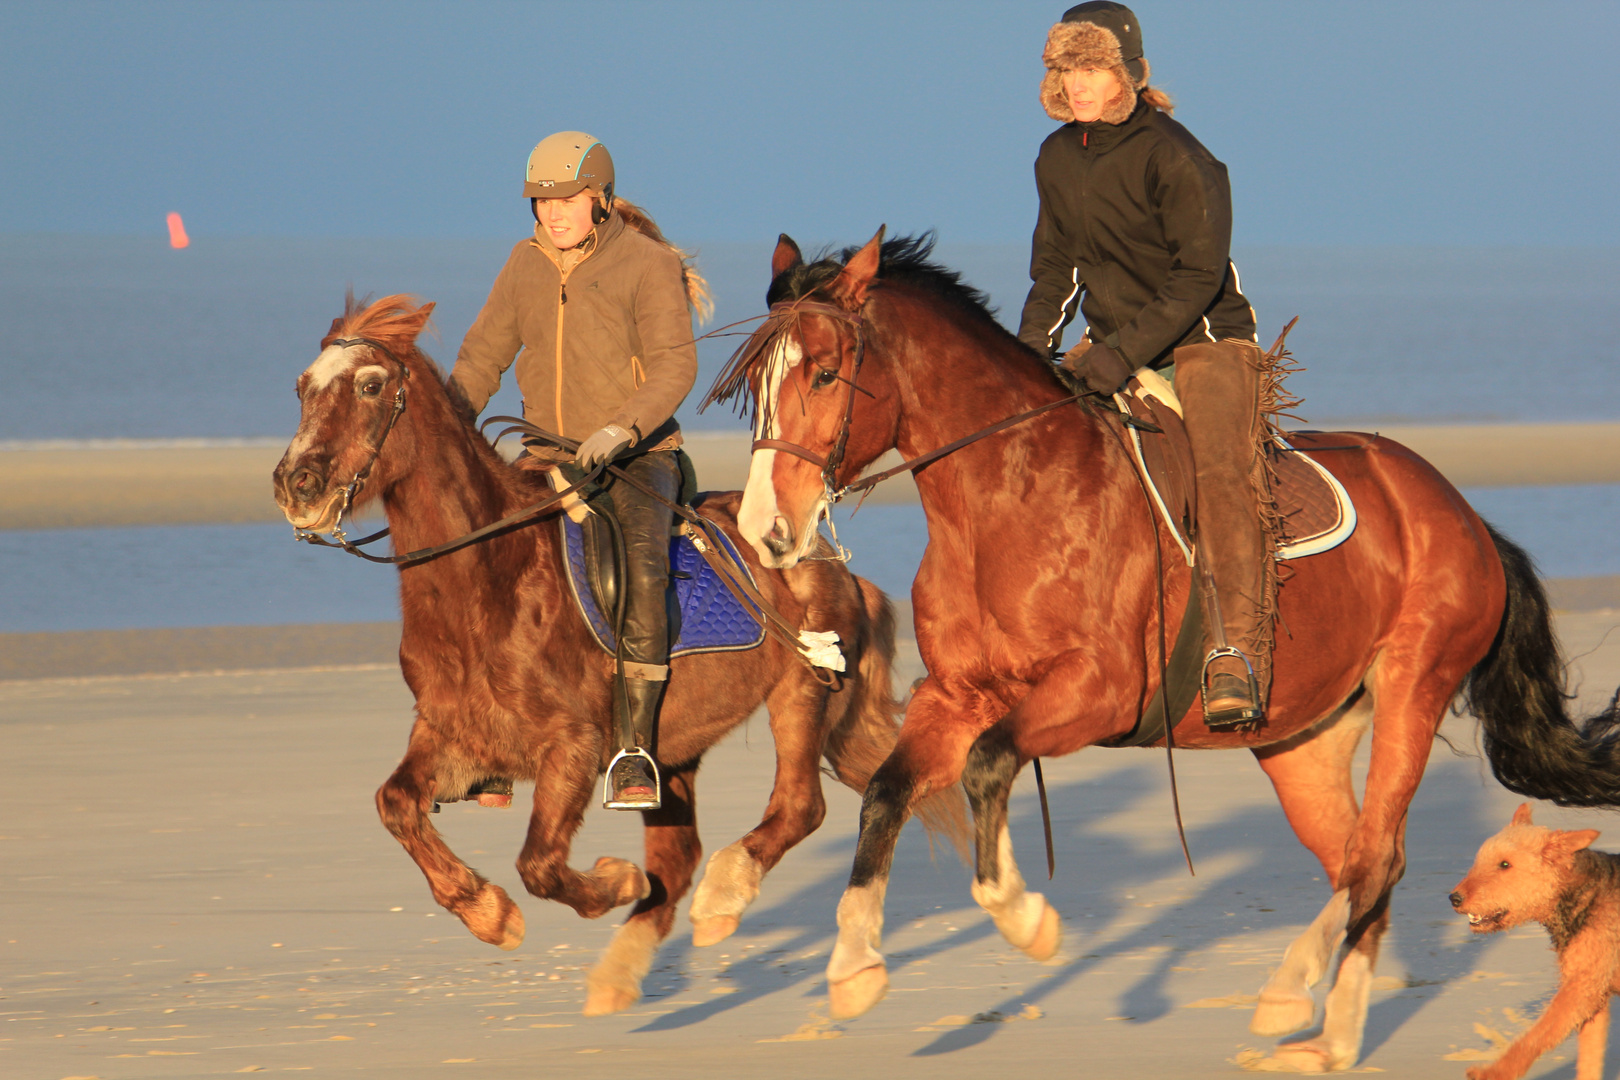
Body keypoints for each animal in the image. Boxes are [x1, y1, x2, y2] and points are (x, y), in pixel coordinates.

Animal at [272, 293, 965, 1016]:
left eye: (371, 385)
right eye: (301, 387)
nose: (297, 484)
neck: (490, 579)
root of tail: (828, 559)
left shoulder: (573, 746)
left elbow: (540, 864)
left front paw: (609, 881)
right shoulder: (452, 735)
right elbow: (396, 803)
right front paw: (487, 910)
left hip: (800, 695)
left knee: (797, 807)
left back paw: (723, 897)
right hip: (674, 749)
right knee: (681, 855)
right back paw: (620, 970)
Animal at [1451, 806, 1613, 1075]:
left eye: (1505, 864)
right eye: (1480, 858)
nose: (1454, 898)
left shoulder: (1582, 989)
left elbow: (1536, 1036)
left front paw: (1493, 1073)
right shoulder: (1593, 994)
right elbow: (1589, 1061)